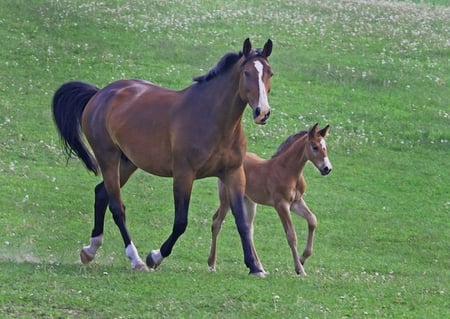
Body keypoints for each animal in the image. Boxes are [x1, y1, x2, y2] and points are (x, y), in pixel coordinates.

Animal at [51, 38, 272, 276]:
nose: (262, 112)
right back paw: (136, 259)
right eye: (247, 72)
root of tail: (99, 94)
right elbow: (181, 222)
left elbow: (242, 222)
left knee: (101, 193)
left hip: (128, 163)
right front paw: (155, 257)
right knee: (117, 207)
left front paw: (254, 267)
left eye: (270, 72)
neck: (214, 119)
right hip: (107, 158)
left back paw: (90, 251)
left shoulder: (234, 173)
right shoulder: (184, 174)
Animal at [207, 124, 330, 276]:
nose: (327, 168)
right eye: (315, 147)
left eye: (325, 146)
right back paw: (212, 264)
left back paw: (259, 267)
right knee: (216, 222)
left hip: (249, 202)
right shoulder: (281, 205)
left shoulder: (296, 203)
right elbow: (291, 235)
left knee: (248, 229)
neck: (288, 171)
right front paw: (300, 269)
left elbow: (313, 220)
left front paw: (302, 259)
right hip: (227, 199)